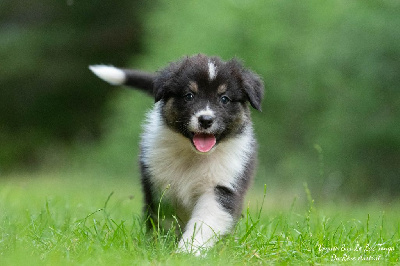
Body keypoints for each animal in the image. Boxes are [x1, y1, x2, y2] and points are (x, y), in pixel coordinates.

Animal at [89, 54, 264, 256]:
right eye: (189, 95)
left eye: (224, 98)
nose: (206, 120)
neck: (193, 155)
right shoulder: (160, 185)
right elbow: (163, 218)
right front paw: (161, 245)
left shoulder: (221, 186)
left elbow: (204, 222)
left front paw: (188, 251)